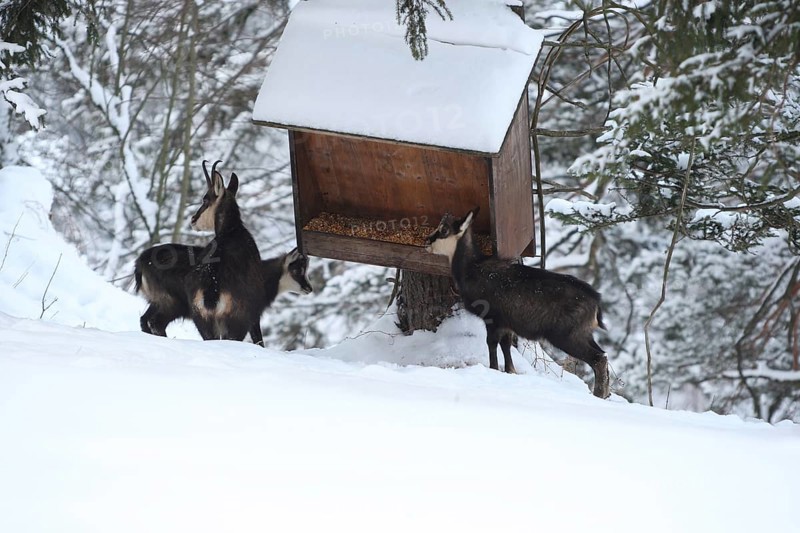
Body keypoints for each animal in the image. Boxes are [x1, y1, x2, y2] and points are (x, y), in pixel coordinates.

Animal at [134, 244, 312, 345]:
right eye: (297, 270)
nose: (309, 288)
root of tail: (141, 262)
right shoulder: (246, 314)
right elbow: (256, 338)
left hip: (160, 299)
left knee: (145, 319)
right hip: (175, 302)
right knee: (157, 322)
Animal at [425, 208, 610, 398]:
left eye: (444, 229)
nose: (427, 240)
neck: (471, 269)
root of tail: (596, 302)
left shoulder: (493, 318)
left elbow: (491, 343)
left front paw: (494, 368)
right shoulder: (507, 323)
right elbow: (506, 345)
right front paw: (510, 370)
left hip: (566, 335)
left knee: (598, 358)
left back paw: (599, 394)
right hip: (583, 333)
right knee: (603, 354)